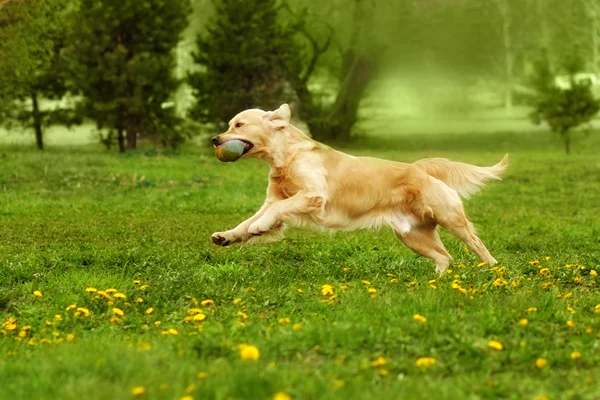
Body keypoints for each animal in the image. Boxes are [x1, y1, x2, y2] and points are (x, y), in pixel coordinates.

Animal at [209, 104, 508, 276]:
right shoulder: (272, 200)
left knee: (477, 245)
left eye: (238, 124)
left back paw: (493, 270)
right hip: (412, 235)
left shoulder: (313, 196)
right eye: (230, 125)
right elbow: (249, 220)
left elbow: (273, 213)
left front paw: (259, 227)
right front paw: (228, 236)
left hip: (450, 218)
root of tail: (420, 169)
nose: (214, 139)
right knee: (445, 257)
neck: (287, 156)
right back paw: (436, 282)